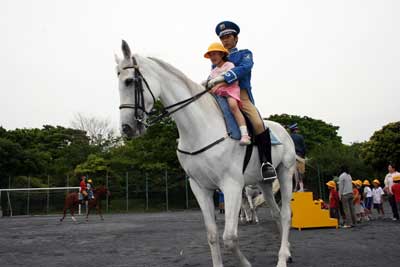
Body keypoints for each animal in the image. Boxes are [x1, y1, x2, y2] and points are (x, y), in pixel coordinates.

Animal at [114, 40, 296, 267]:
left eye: (129, 81)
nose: (127, 129)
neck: (200, 129)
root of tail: (283, 129)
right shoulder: (200, 187)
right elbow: (212, 235)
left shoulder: (231, 186)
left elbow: (229, 237)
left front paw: (246, 264)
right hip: (263, 182)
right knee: (276, 214)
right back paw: (286, 253)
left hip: (285, 173)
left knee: (286, 214)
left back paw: (281, 259)